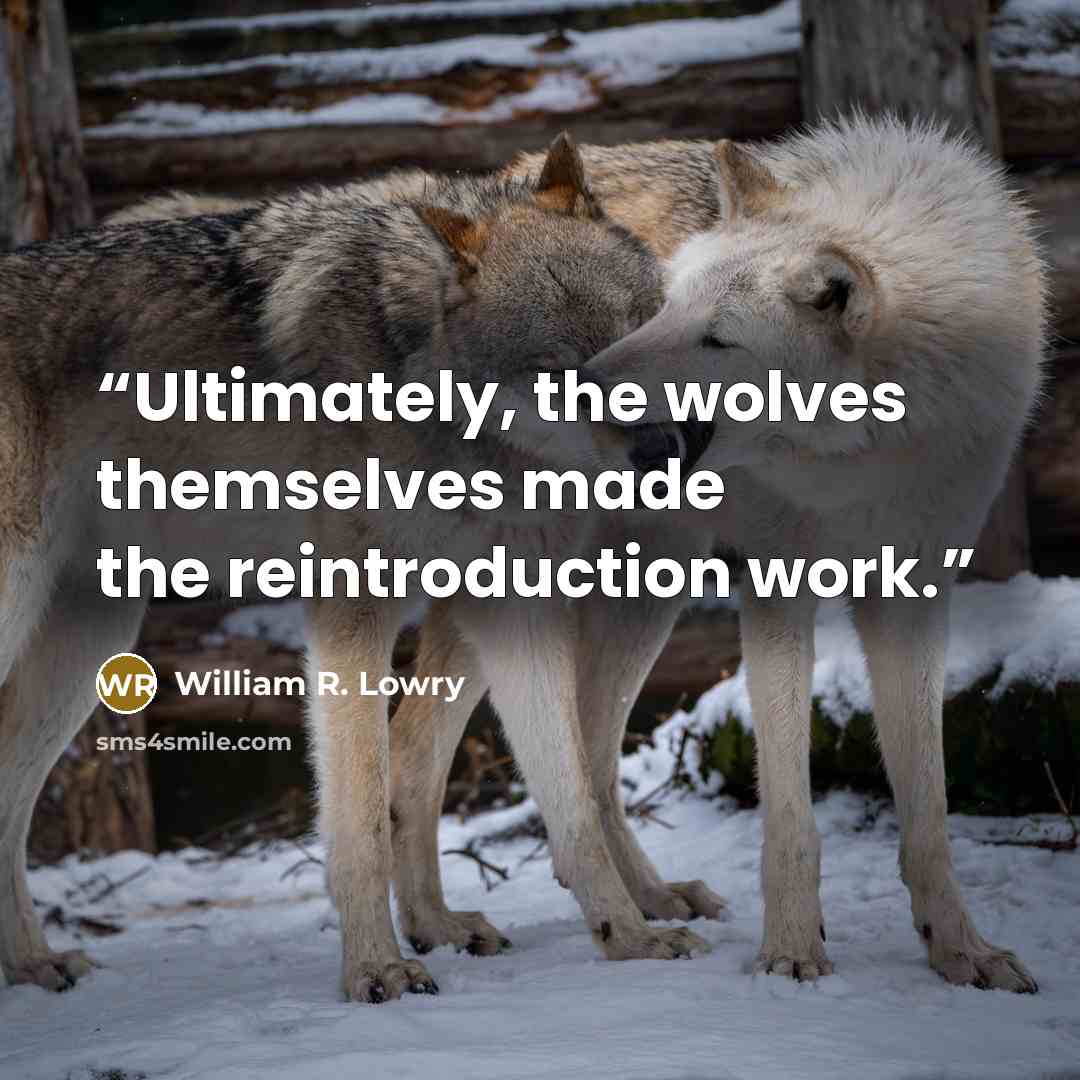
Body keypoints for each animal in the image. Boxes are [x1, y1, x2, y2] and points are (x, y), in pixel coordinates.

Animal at [0, 135, 717, 1004]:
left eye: (640, 337)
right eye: (561, 374)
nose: (669, 448)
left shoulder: (511, 608)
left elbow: (572, 796)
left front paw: (631, 938)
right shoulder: (353, 616)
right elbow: (362, 816)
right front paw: (377, 969)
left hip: (91, 644)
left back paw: (32, 963)